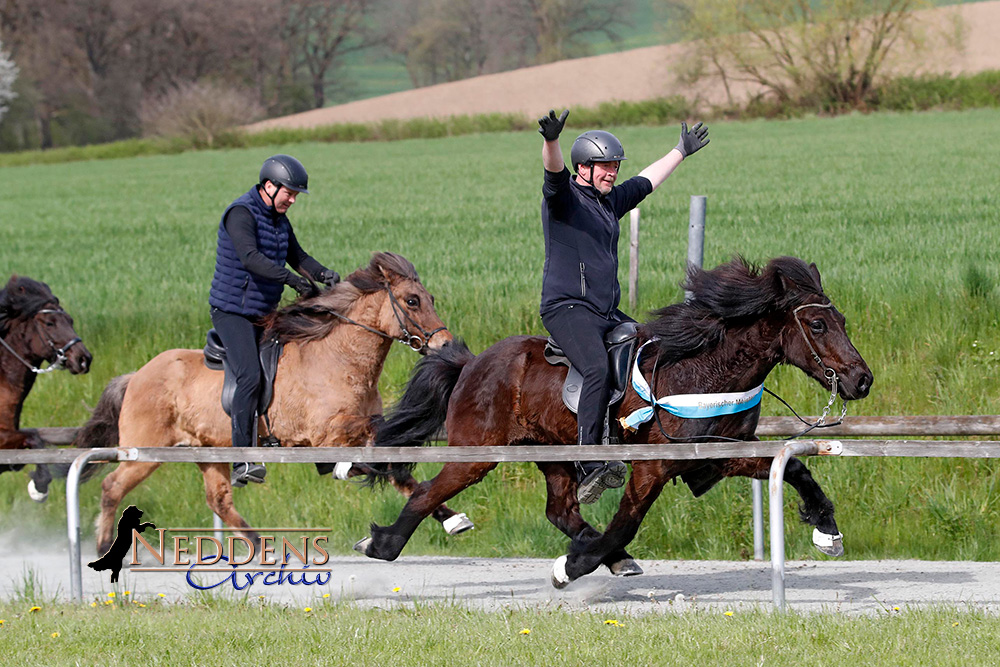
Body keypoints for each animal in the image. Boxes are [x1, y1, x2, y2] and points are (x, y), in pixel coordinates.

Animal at [356, 256, 872, 584]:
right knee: (428, 490)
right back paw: (383, 544)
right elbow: (626, 523)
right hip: (477, 453)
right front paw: (569, 569)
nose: (861, 379)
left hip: (553, 454)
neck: (700, 370)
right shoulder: (651, 468)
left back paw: (607, 555)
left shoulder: (720, 457)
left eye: (843, 320)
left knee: (560, 510)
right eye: (818, 325)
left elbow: (796, 468)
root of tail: (470, 363)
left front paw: (827, 530)